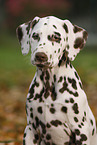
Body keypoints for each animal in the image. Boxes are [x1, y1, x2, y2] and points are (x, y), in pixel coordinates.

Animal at [15, 15, 96, 145]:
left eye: (55, 37)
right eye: (35, 36)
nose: (40, 56)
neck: (49, 84)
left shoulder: (80, 131)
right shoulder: (31, 129)